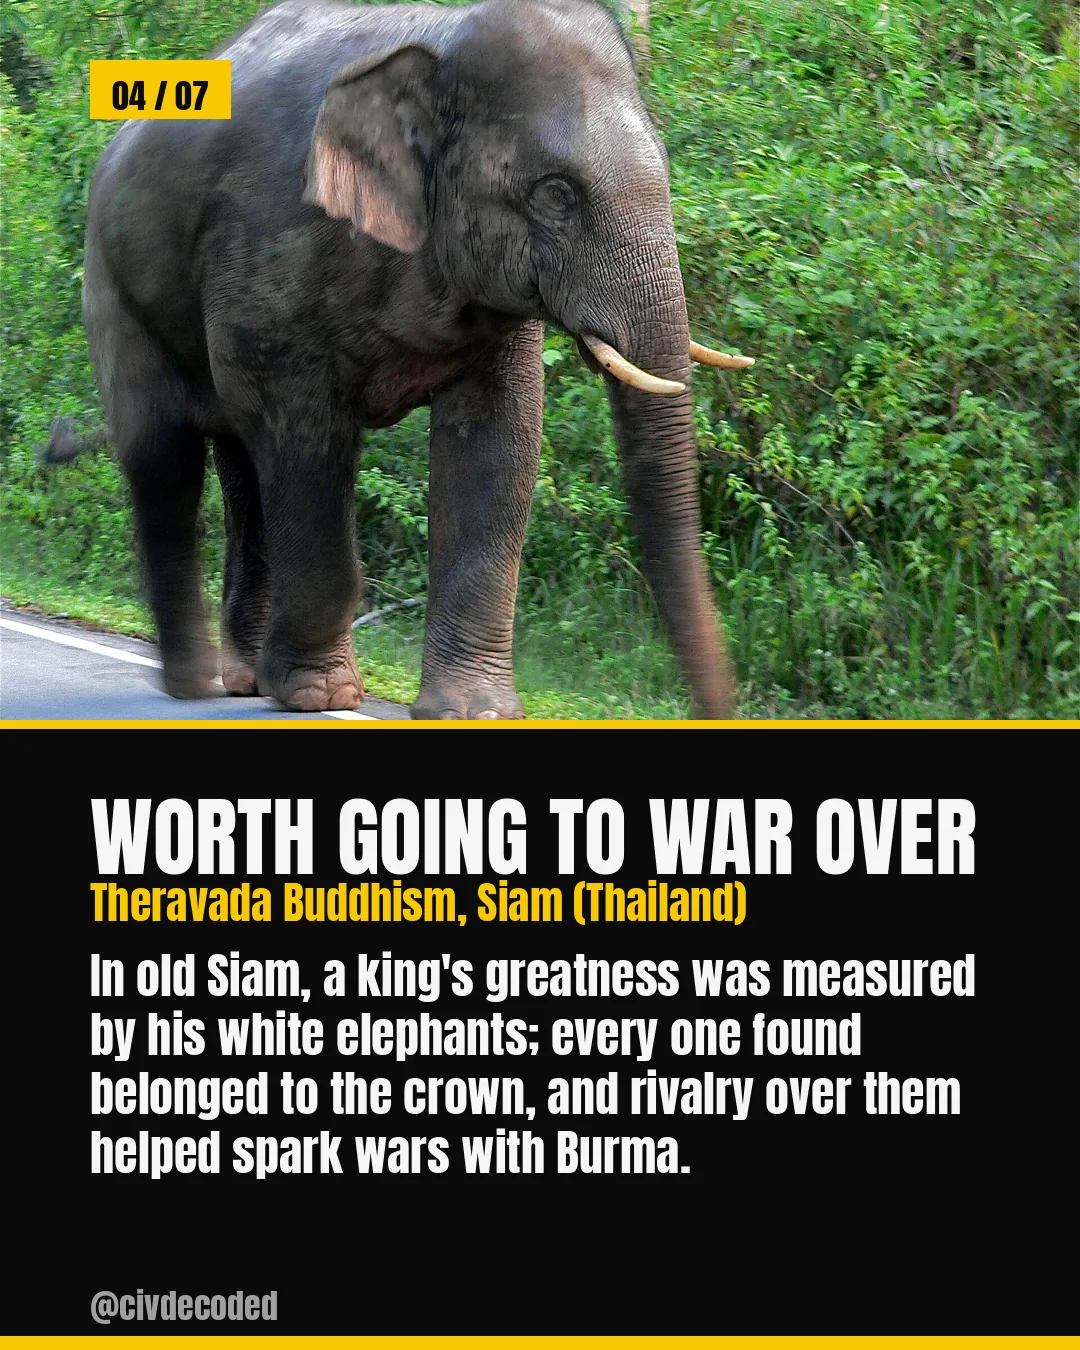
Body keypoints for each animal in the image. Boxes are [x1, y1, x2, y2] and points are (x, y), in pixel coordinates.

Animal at [68, 0, 754, 718]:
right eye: (556, 194)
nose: (715, 706)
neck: (436, 45)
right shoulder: (270, 250)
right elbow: (307, 441)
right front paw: (320, 694)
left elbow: (497, 443)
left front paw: (474, 711)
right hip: (113, 285)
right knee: (163, 456)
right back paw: (194, 684)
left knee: (237, 464)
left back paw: (242, 679)